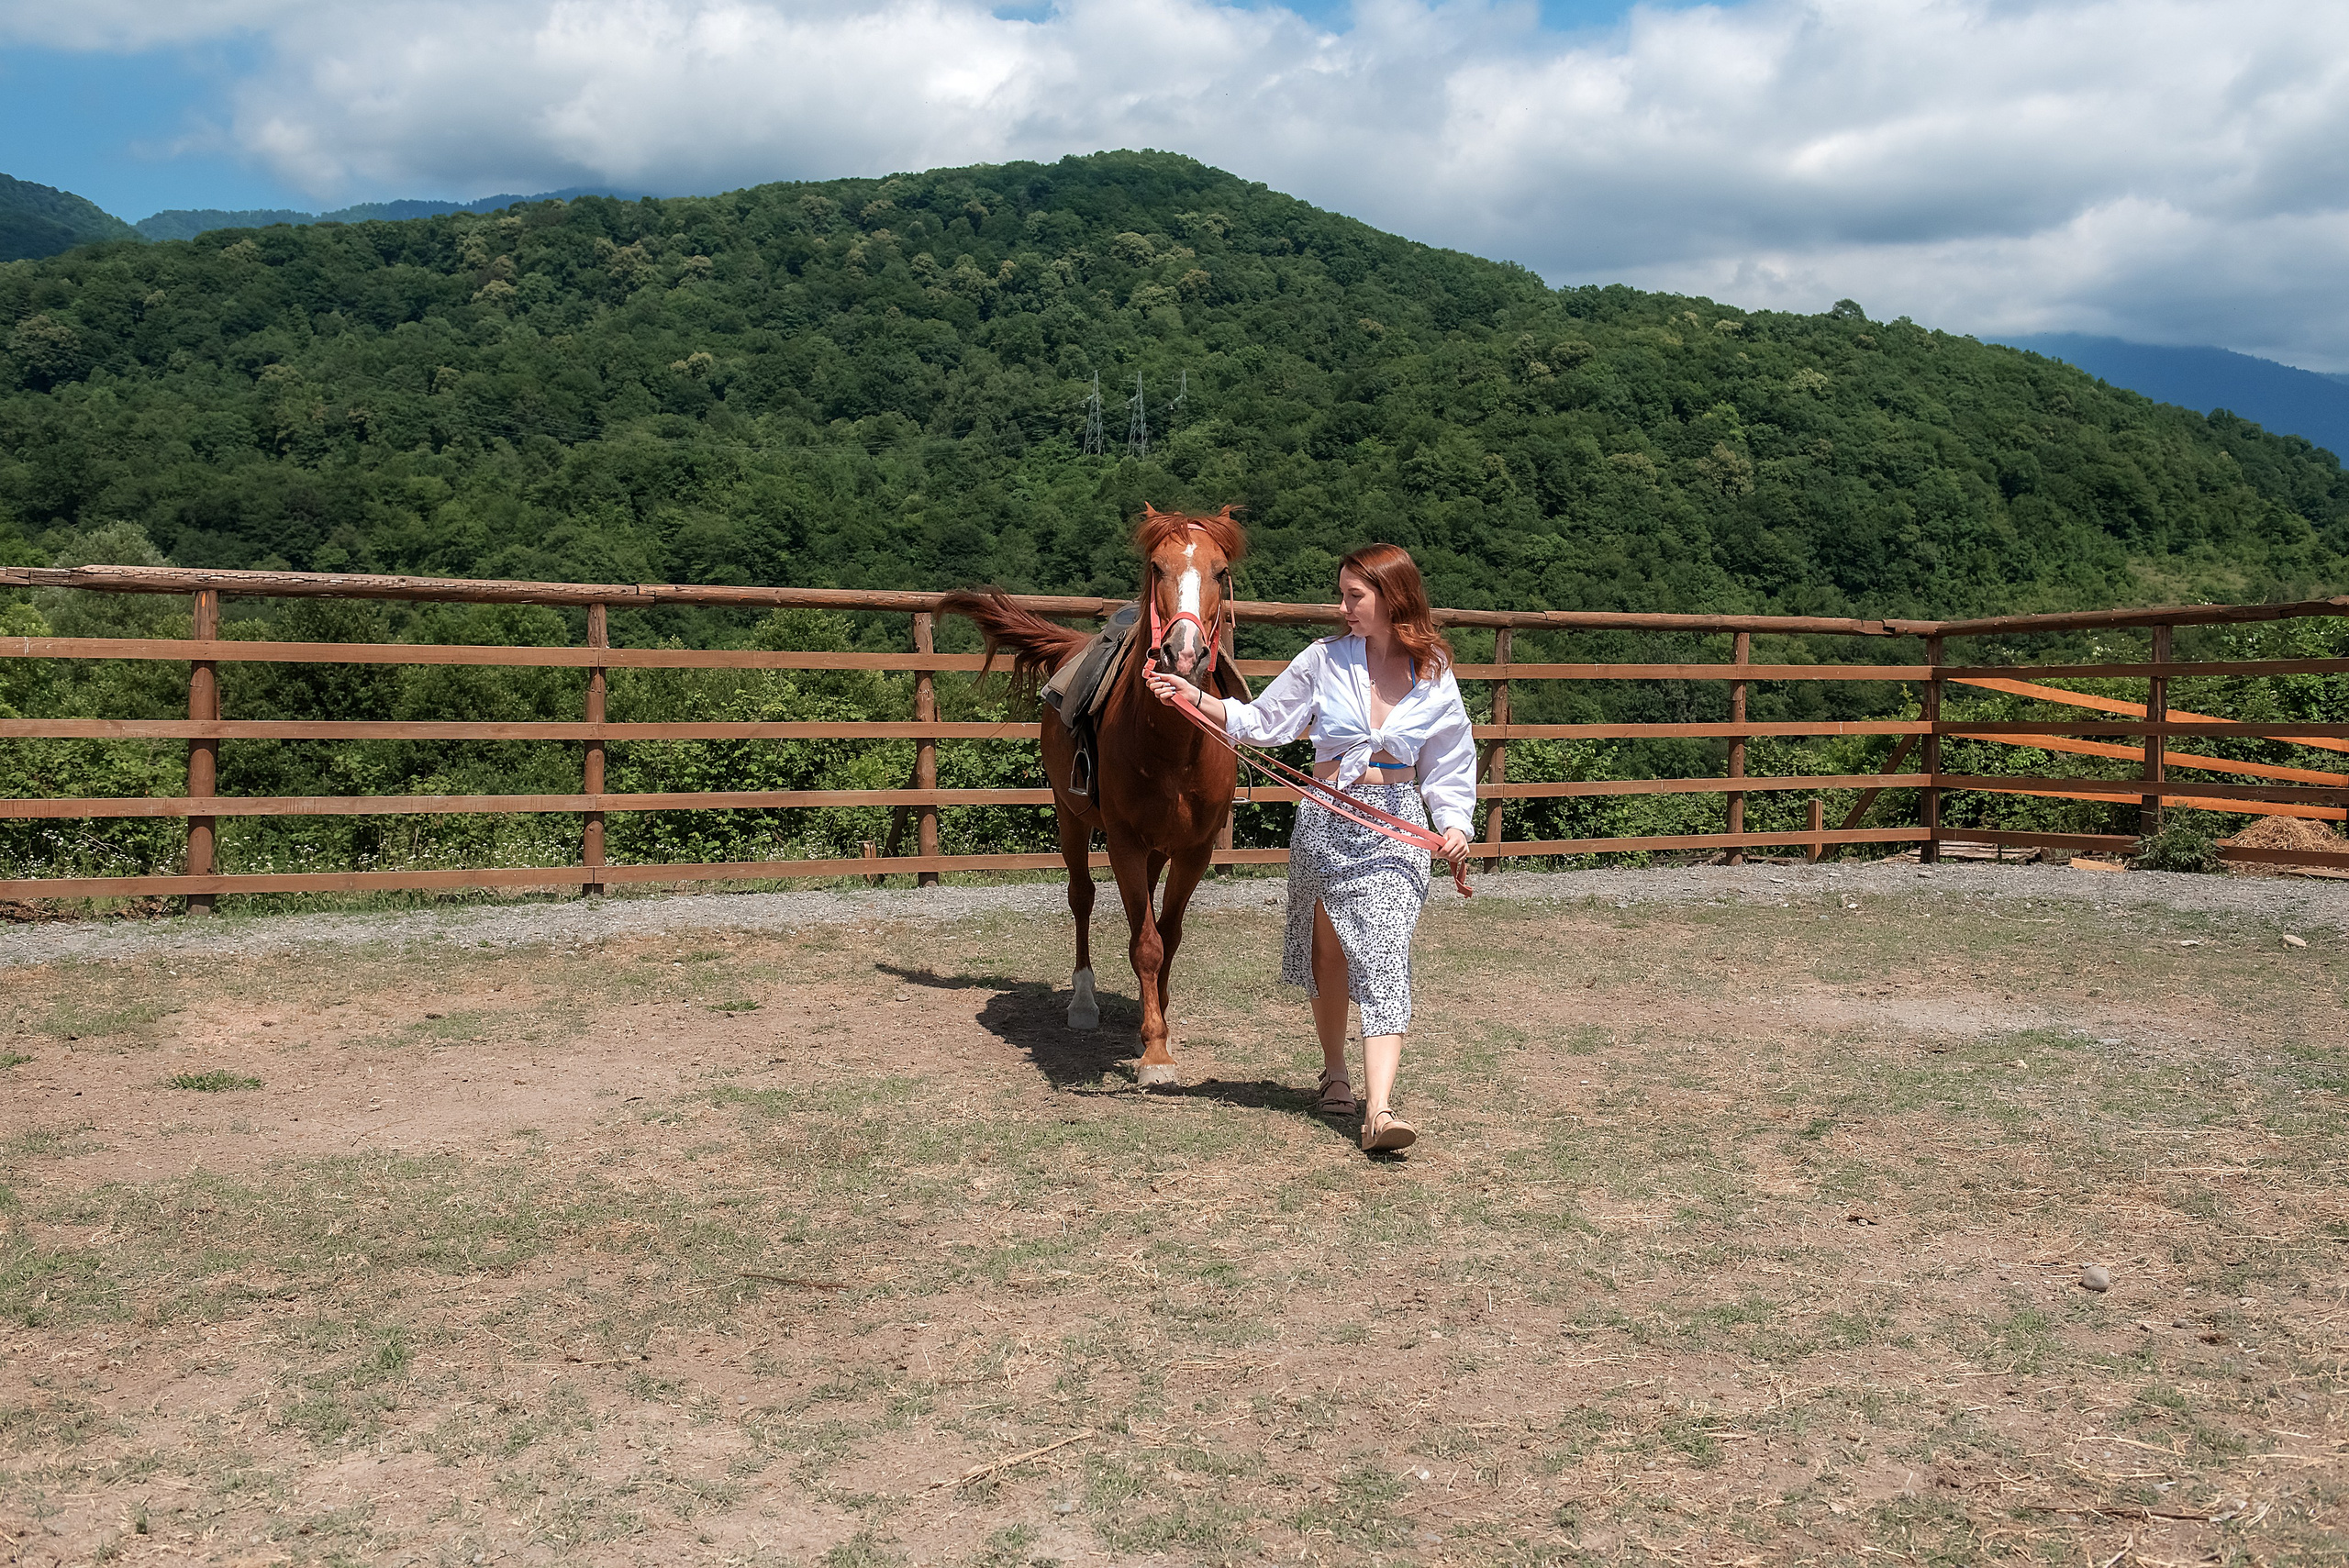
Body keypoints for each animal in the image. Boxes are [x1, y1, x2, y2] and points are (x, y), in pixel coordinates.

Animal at [941, 506, 1246, 1086]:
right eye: (1156, 567)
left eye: (1220, 573)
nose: (1183, 654)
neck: (1173, 745)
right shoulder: (1123, 841)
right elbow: (1146, 945)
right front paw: (1155, 1055)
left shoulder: (1193, 850)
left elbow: (1167, 936)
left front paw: (1157, 1024)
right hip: (1072, 818)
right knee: (1081, 898)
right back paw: (1083, 1002)